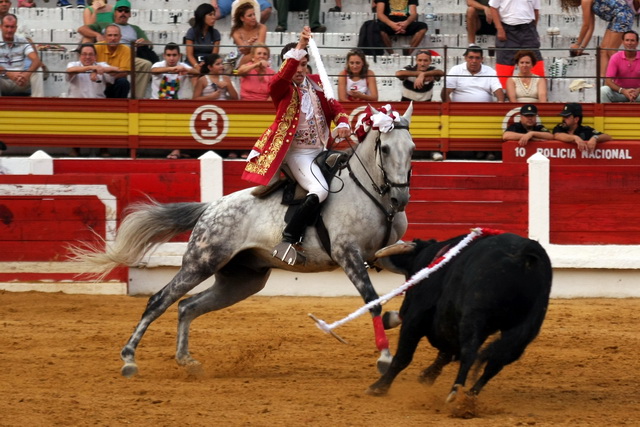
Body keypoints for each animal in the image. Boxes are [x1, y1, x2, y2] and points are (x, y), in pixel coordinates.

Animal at [75, 105, 416, 380]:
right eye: (385, 148)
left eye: (412, 148)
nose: (400, 199)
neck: (370, 193)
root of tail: (211, 207)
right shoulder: (348, 254)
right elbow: (372, 299)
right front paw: (385, 357)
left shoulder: (379, 254)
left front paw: (397, 319)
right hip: (201, 262)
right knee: (159, 300)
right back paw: (129, 359)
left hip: (241, 280)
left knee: (187, 306)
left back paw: (187, 361)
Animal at [368, 232, 552, 402]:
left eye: (412, 276)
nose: (400, 311)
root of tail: (524, 255)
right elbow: (446, 354)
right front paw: (426, 376)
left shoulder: (416, 316)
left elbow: (404, 356)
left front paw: (379, 387)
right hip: (524, 329)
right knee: (497, 361)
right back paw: (470, 395)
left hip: (474, 317)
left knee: (470, 352)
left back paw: (455, 392)